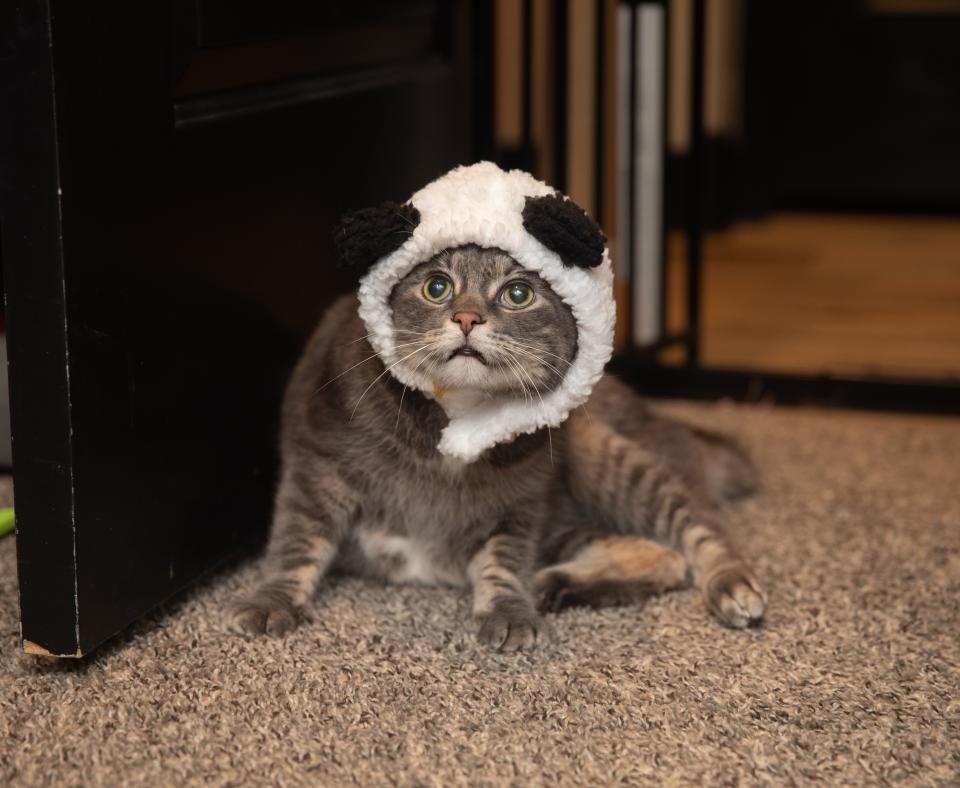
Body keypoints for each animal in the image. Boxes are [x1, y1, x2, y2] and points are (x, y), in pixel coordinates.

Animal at [232, 243, 764, 648]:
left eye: (517, 294)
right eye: (437, 286)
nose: (467, 318)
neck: (454, 422)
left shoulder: (519, 504)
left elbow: (503, 562)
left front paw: (509, 610)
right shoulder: (316, 467)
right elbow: (296, 541)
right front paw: (272, 601)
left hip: (610, 463)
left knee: (698, 530)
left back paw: (730, 585)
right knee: (660, 556)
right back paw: (554, 583)